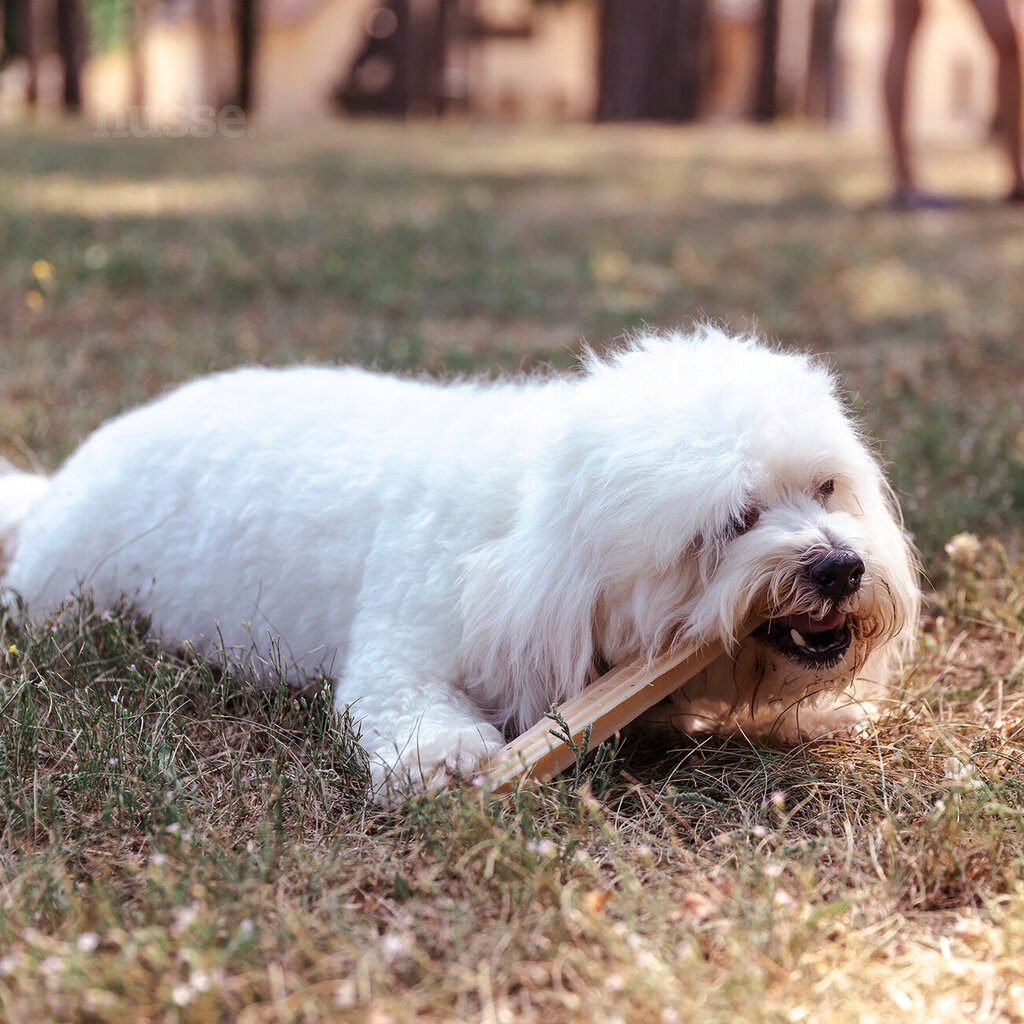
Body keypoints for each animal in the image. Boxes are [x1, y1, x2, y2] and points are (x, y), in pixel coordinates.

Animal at [0, 327, 921, 790]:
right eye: (735, 521)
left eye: (827, 487)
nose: (840, 569)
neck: (527, 526)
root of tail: (61, 483)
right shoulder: (401, 651)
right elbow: (413, 707)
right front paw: (445, 761)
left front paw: (827, 715)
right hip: (65, 590)